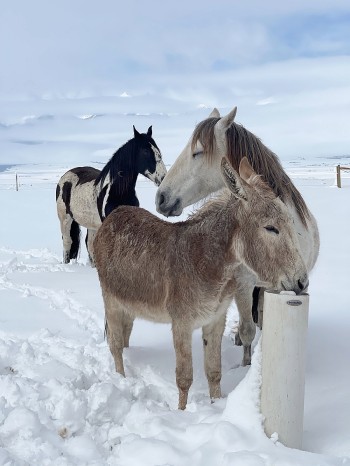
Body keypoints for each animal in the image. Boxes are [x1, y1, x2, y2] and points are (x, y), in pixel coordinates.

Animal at [56, 125, 167, 266]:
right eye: (145, 151)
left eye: (157, 149)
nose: (163, 177)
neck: (118, 191)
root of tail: (65, 176)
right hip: (65, 219)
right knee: (67, 242)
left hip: (91, 225)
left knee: (89, 244)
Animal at [156, 107, 320, 366]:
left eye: (197, 152)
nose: (161, 197)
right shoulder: (243, 286)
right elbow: (247, 330)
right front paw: (245, 363)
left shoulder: (280, 286)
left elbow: (260, 324)